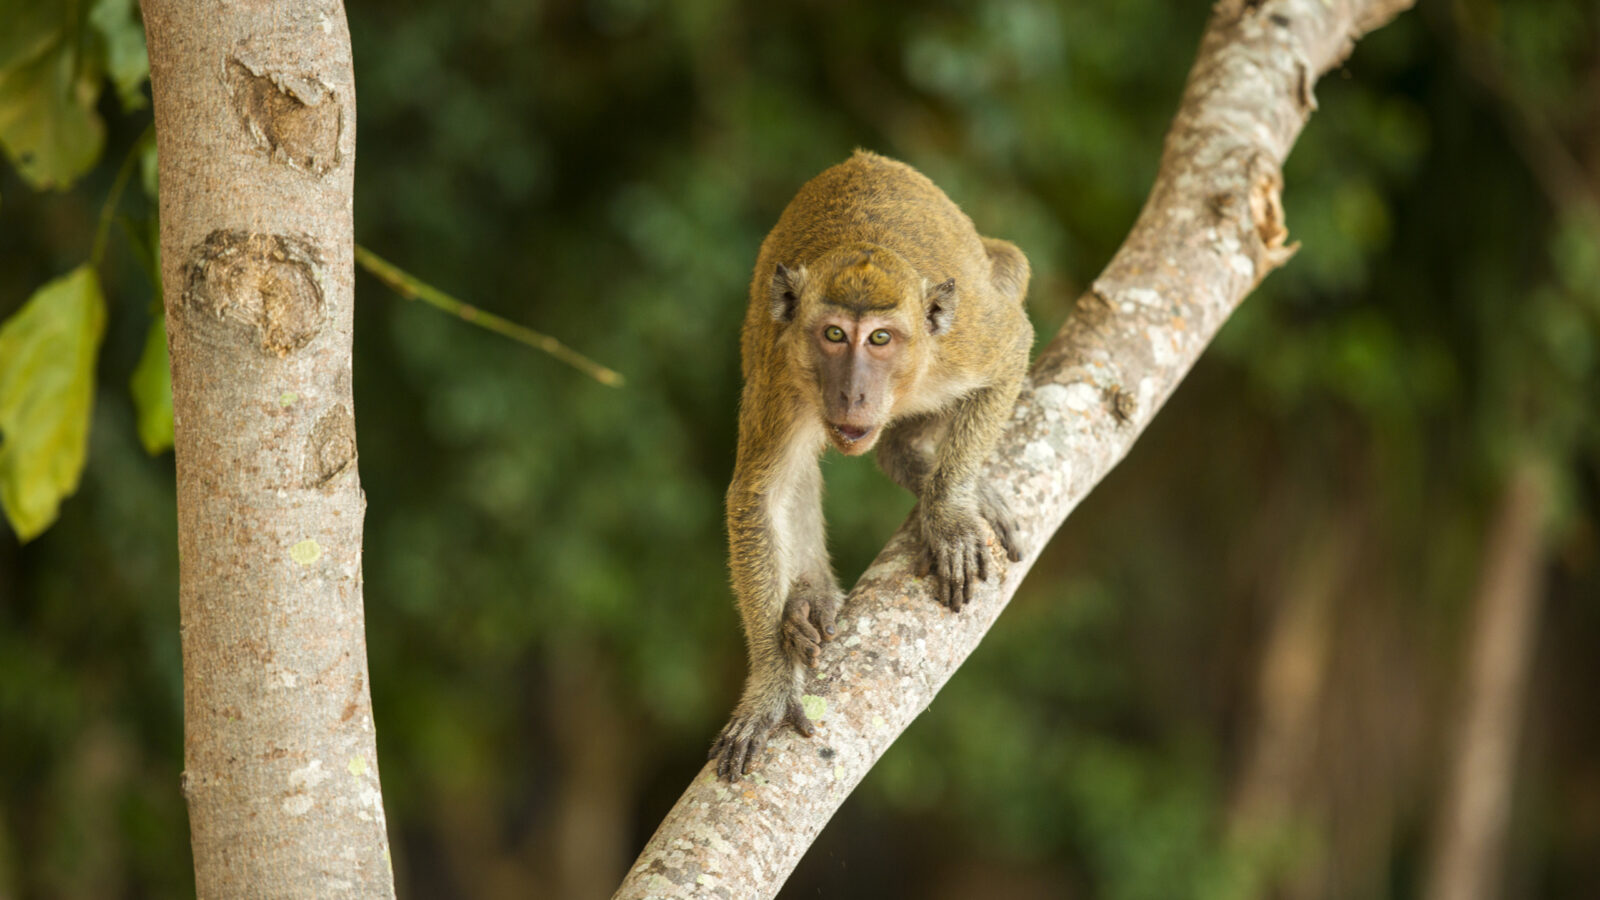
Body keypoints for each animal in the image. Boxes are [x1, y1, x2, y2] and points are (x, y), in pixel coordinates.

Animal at [709, 150, 1033, 781]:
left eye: (881, 338)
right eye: (835, 335)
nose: (854, 394)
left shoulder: (963, 343)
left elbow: (1013, 351)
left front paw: (949, 513)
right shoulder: (782, 375)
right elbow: (759, 496)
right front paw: (771, 684)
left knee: (1009, 269)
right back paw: (807, 602)